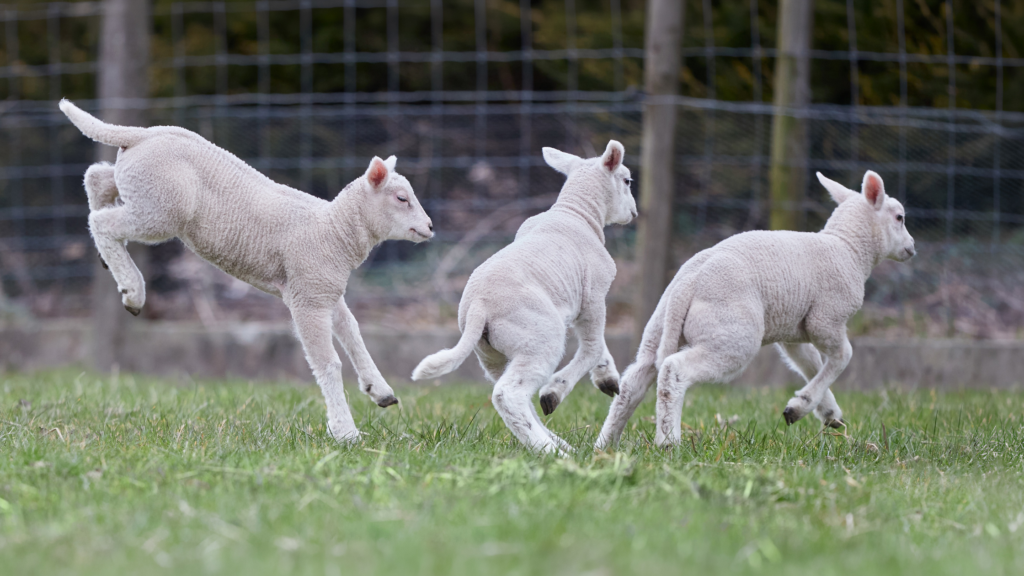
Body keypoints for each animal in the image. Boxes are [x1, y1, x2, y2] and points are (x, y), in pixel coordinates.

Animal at [59, 99, 434, 443]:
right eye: (402, 198)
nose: (430, 227)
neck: (334, 229)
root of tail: (142, 134)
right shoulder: (308, 296)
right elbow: (328, 363)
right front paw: (346, 432)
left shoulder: (325, 290)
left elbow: (354, 334)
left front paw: (380, 391)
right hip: (160, 207)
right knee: (102, 221)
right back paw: (132, 290)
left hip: (142, 190)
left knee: (97, 177)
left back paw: (107, 255)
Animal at [411, 141, 637, 454]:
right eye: (627, 181)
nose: (634, 213)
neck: (577, 212)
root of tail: (479, 306)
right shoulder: (593, 295)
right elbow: (593, 346)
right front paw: (558, 390)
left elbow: (599, 345)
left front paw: (608, 379)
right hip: (540, 336)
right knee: (508, 394)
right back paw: (551, 450)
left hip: (492, 354)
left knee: (513, 392)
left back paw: (557, 444)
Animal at [596, 170, 916, 449]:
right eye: (900, 217)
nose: (912, 247)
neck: (848, 249)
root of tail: (689, 283)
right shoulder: (826, 318)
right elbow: (842, 357)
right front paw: (802, 405)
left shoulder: (793, 332)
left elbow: (810, 364)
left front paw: (825, 413)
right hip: (732, 334)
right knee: (674, 370)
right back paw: (668, 442)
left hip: (660, 329)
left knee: (633, 383)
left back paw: (605, 444)